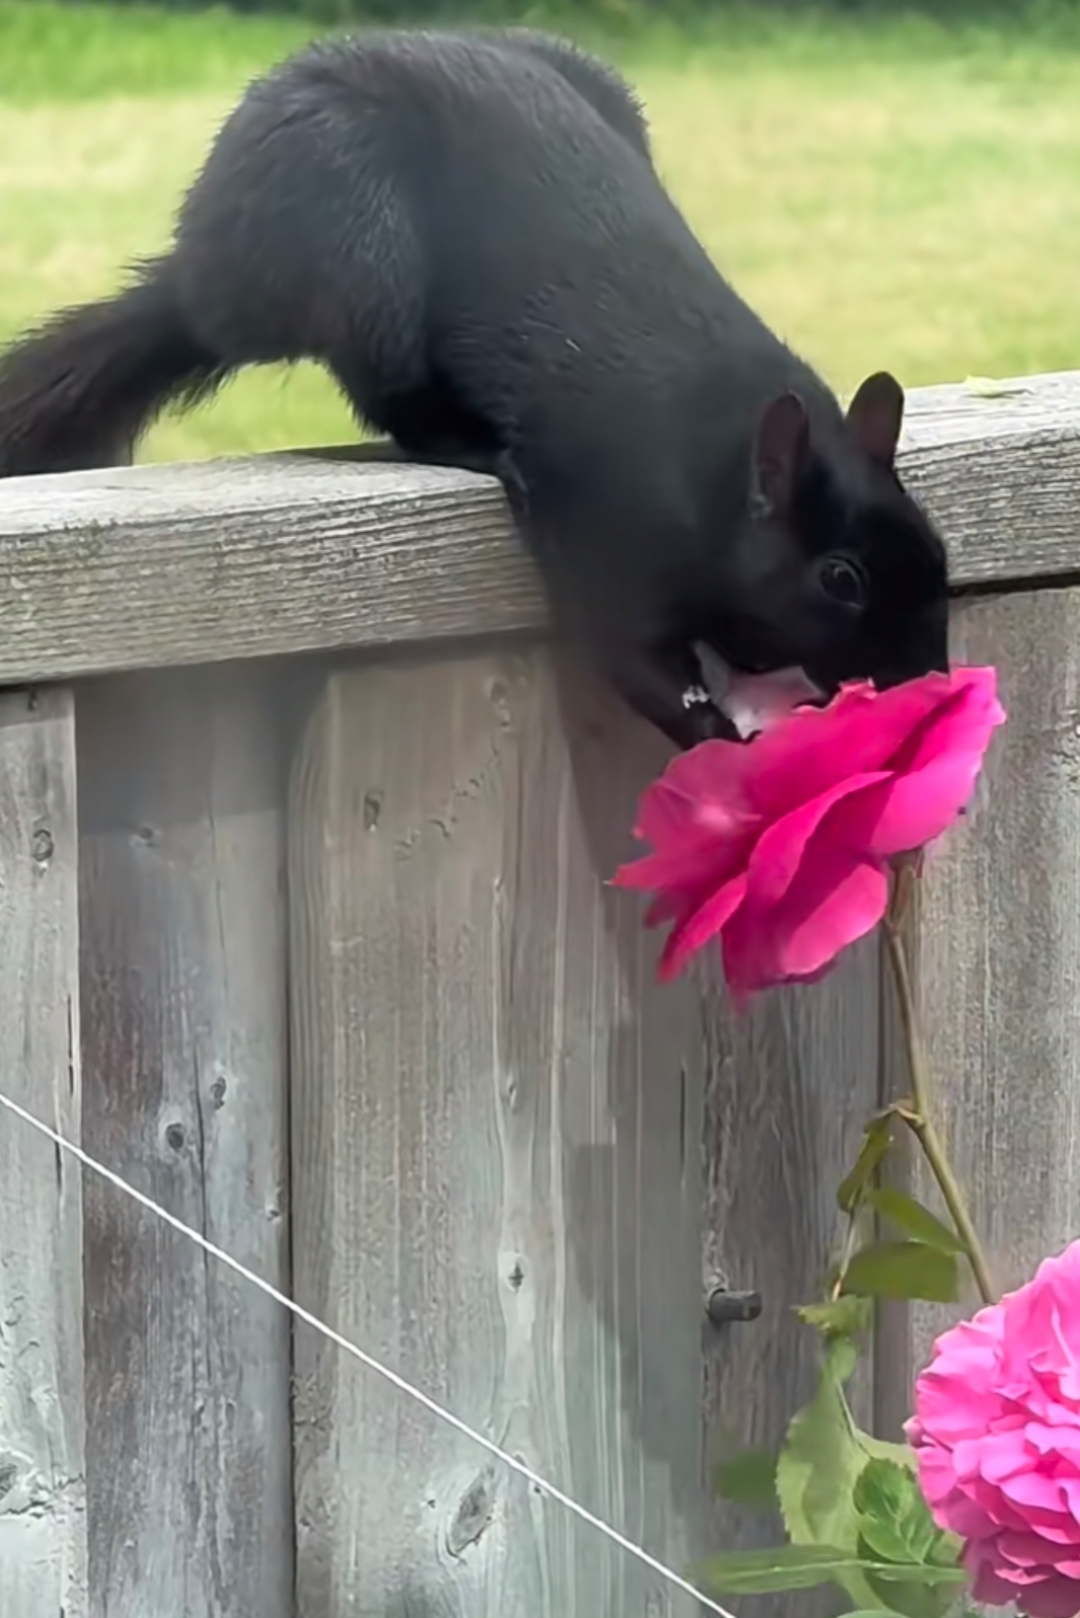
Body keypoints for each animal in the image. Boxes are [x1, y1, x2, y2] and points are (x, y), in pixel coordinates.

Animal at [0, 29, 945, 750]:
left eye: (937, 548)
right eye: (840, 578)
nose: (928, 676)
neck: (719, 462)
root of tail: (213, 280)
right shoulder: (613, 533)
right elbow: (623, 651)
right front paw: (708, 728)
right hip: (356, 250)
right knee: (389, 395)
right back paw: (470, 444)